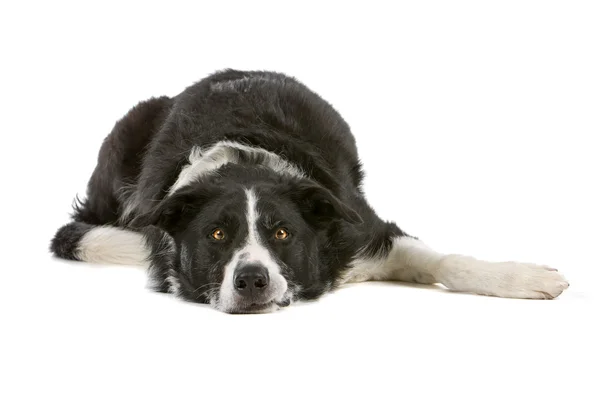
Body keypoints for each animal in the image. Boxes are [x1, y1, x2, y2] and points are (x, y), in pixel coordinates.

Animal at [49, 69, 568, 312]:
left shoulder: (361, 231)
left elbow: (448, 262)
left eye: (282, 233)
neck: (242, 162)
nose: (252, 280)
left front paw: (523, 278)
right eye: (217, 235)